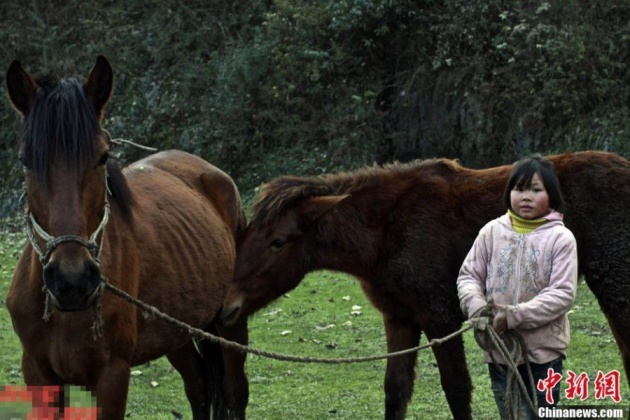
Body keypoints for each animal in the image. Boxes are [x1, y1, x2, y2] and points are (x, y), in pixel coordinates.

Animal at [6, 56, 252, 420]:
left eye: (102, 157)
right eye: (26, 160)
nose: (71, 280)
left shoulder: (113, 376)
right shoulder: (38, 375)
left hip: (230, 326)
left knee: (234, 393)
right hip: (177, 331)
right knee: (199, 390)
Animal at [221, 151, 630, 420]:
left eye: (278, 241)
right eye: (245, 234)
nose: (227, 308)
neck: (387, 232)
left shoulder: (439, 318)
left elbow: (457, 389)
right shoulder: (399, 318)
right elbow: (396, 390)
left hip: (614, 285)